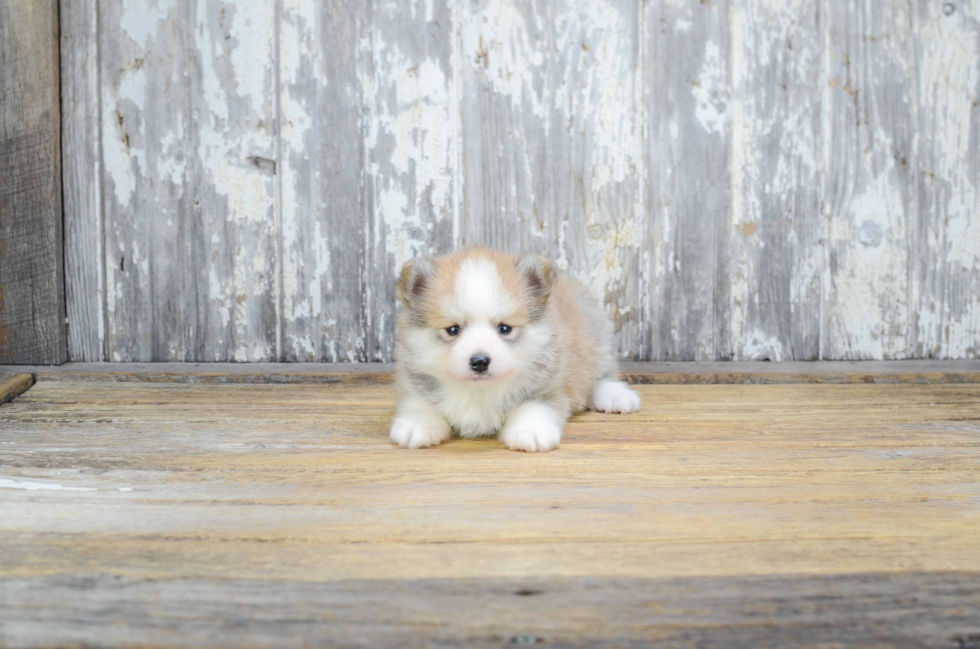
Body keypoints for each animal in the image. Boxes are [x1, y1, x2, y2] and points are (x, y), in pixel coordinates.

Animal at [386, 246, 640, 454]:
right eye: (453, 329)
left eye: (504, 328)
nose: (480, 361)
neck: (479, 392)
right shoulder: (414, 380)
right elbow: (419, 403)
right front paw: (417, 425)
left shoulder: (548, 387)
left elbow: (534, 408)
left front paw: (531, 431)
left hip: (598, 339)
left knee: (603, 375)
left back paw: (616, 396)